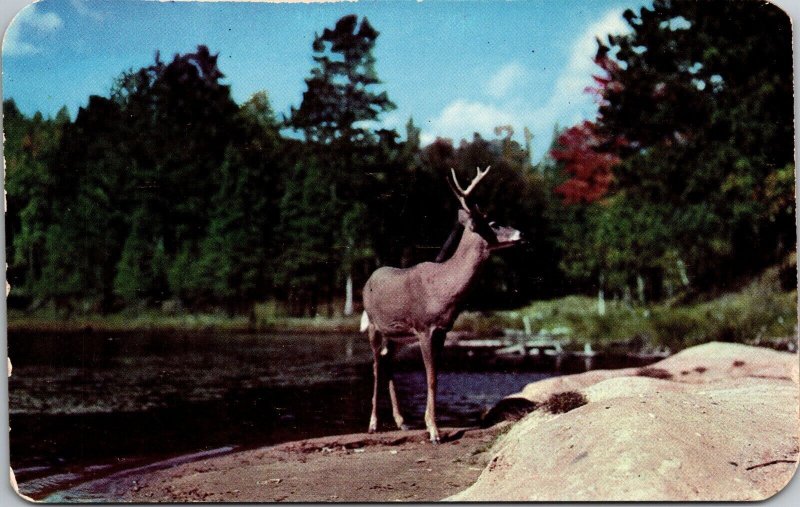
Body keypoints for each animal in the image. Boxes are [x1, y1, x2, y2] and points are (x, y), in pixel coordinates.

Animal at [362, 168, 524, 444]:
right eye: (493, 223)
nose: (520, 233)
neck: (443, 287)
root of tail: (367, 280)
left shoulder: (442, 330)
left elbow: (436, 375)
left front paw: (430, 425)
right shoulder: (424, 327)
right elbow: (430, 378)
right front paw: (434, 431)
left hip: (396, 334)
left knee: (387, 361)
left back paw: (401, 421)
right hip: (374, 325)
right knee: (375, 365)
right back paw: (373, 423)